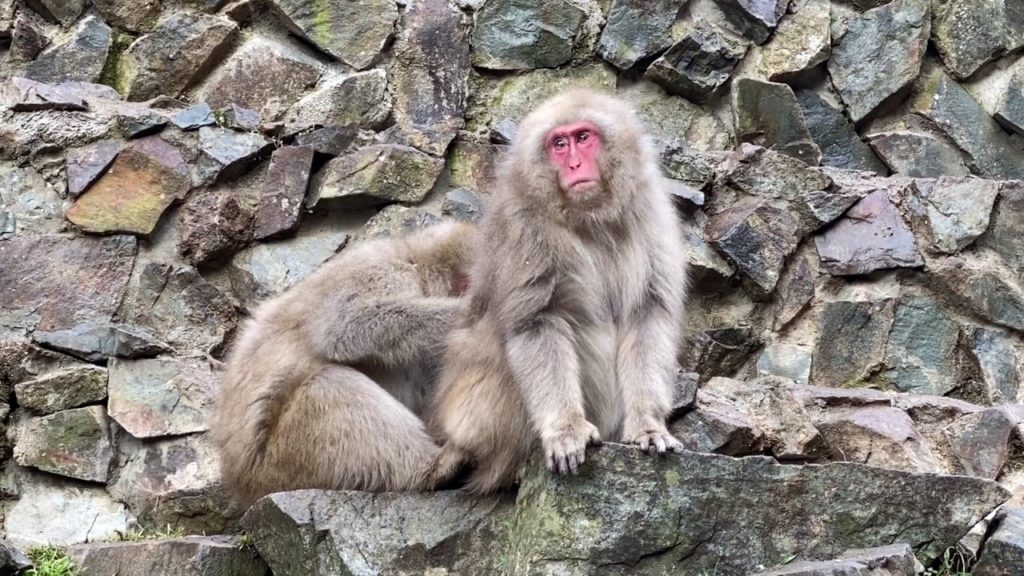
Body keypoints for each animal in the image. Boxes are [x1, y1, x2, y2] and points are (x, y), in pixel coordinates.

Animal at [210, 221, 476, 509]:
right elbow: (345, 324)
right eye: (467, 282)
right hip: (285, 461)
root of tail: (242, 486)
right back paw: (430, 469)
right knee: (328, 384)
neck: (414, 261)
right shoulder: (382, 271)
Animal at [429, 89, 689, 494]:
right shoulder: (523, 226)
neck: (589, 220)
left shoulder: (651, 214)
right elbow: (537, 322)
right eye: (559, 144)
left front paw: (647, 424)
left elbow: (647, 315)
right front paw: (566, 430)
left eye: (583, 137)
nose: (574, 165)